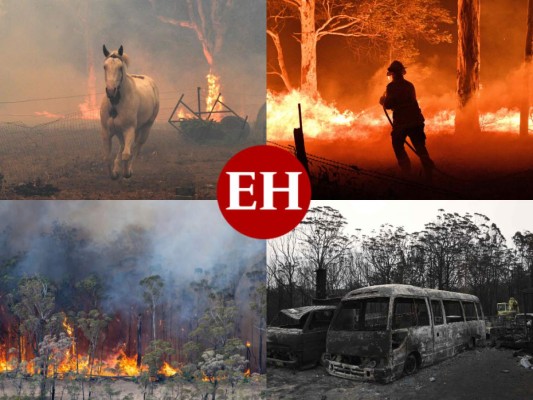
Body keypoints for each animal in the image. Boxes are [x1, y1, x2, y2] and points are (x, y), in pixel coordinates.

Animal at [99, 44, 158, 180]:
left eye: (120, 67)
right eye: (105, 66)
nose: (111, 91)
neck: (115, 104)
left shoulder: (129, 129)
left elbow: (127, 154)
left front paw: (126, 173)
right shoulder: (106, 132)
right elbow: (107, 157)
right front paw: (114, 174)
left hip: (146, 127)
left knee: (136, 147)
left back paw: (129, 169)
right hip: (121, 132)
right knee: (122, 146)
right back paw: (117, 167)